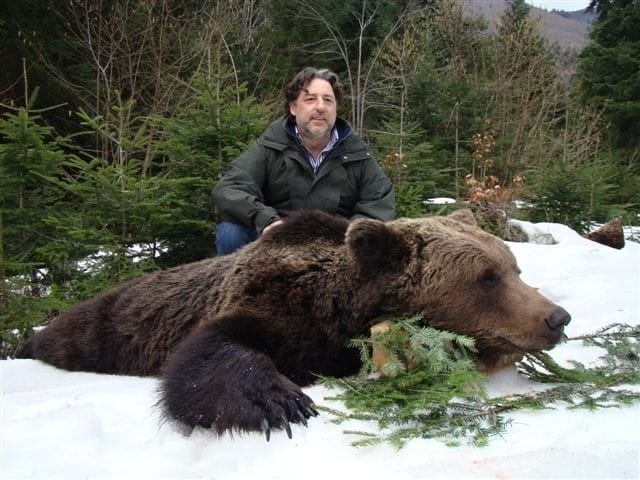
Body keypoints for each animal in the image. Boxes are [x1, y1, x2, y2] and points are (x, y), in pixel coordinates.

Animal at [17, 209, 571, 440]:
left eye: (514, 268)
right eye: (486, 277)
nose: (557, 317)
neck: (345, 308)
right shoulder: (277, 303)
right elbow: (210, 352)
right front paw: (278, 402)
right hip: (103, 326)